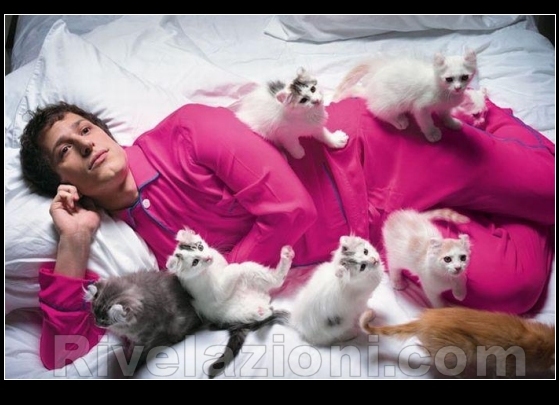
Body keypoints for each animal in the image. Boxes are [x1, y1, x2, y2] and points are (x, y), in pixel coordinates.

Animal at [166, 226, 294, 378]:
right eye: (195, 262)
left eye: (200, 247)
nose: (208, 258)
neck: (208, 269)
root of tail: (261, 300)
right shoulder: (214, 292)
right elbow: (231, 271)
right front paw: (235, 267)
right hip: (234, 313)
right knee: (260, 311)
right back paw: (261, 311)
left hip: (254, 273)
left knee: (275, 280)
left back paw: (286, 256)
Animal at [333, 49, 477, 142]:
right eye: (449, 79)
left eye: (464, 77)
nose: (458, 88)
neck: (444, 91)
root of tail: (370, 88)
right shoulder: (420, 107)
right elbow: (426, 121)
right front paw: (432, 133)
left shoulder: (445, 107)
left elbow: (446, 115)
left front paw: (452, 123)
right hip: (392, 101)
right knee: (377, 110)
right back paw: (399, 121)